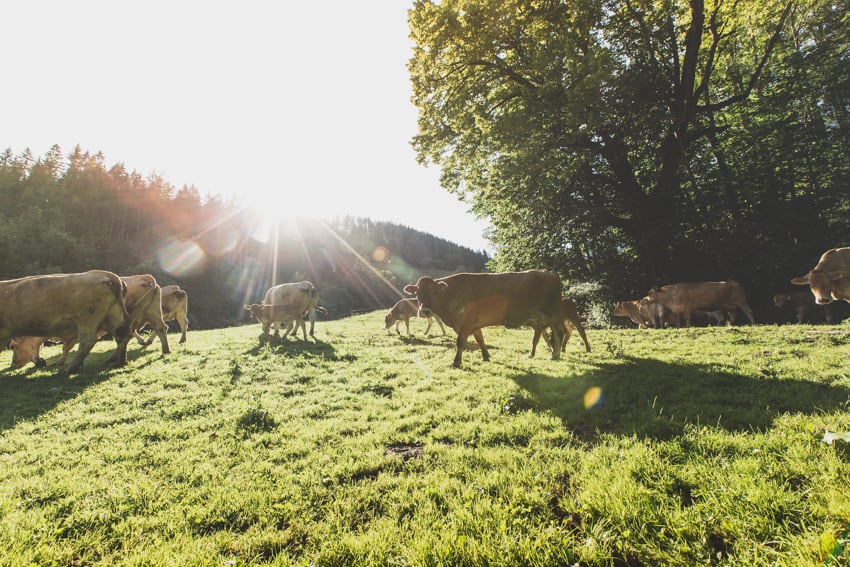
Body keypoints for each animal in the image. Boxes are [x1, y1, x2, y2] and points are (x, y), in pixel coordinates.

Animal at [0, 270, 131, 374]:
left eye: (12, 346)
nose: (13, 364)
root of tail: (107, 274)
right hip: (113, 316)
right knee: (121, 335)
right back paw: (121, 361)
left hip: (87, 319)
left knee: (88, 341)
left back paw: (71, 368)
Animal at [403, 270, 567, 368]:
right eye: (417, 292)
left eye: (434, 291)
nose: (424, 311)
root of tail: (549, 273)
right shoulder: (474, 324)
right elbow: (480, 339)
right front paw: (486, 356)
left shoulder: (466, 322)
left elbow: (460, 342)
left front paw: (456, 362)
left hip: (553, 313)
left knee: (559, 333)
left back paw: (555, 355)